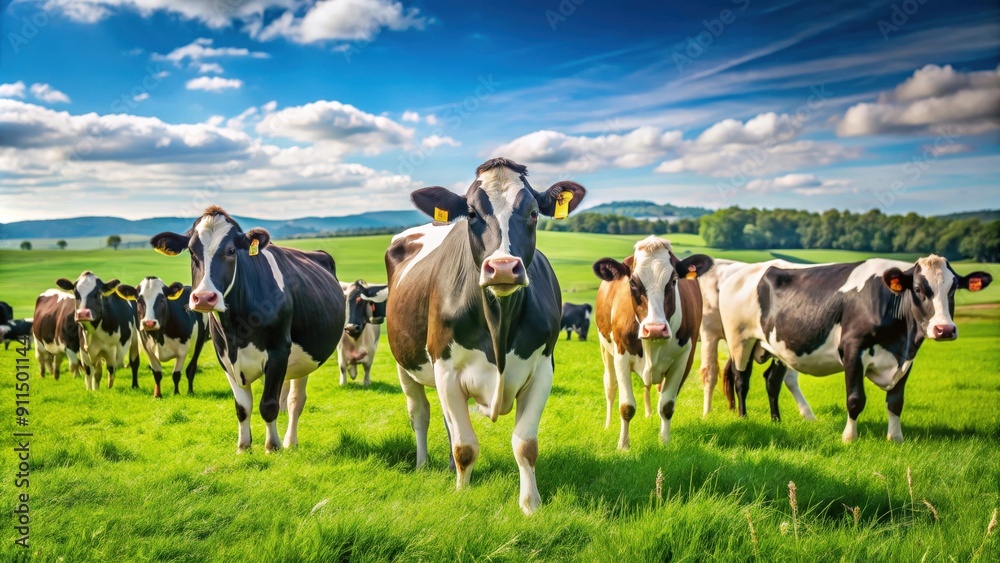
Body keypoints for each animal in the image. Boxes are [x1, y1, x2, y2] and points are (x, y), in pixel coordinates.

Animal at [150, 206, 346, 452]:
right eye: (192, 252)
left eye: (232, 250)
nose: (204, 297)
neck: (237, 329)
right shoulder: (225, 357)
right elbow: (242, 407)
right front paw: (243, 447)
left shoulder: (278, 351)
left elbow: (268, 405)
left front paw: (272, 447)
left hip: (307, 358)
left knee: (295, 401)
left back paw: (290, 442)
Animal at [385, 157, 586, 515]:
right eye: (472, 213)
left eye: (534, 212)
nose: (503, 267)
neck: (498, 326)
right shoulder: (446, 369)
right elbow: (465, 445)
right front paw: (462, 493)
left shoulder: (543, 370)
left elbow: (525, 444)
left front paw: (530, 504)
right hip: (405, 364)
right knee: (420, 413)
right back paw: (423, 464)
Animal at [592, 237, 713, 450]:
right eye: (632, 283)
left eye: (673, 281)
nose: (655, 328)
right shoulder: (621, 356)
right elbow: (626, 406)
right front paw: (623, 446)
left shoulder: (684, 359)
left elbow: (666, 405)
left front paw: (664, 442)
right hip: (605, 349)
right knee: (610, 386)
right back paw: (607, 425)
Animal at [719, 256, 992, 442]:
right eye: (917, 289)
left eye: (953, 289)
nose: (944, 329)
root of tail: (741, 270)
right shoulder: (852, 349)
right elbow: (855, 399)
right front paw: (849, 437)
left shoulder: (907, 358)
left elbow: (896, 401)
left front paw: (895, 438)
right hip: (740, 340)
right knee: (741, 380)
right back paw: (743, 418)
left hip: (778, 346)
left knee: (772, 381)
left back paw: (776, 421)